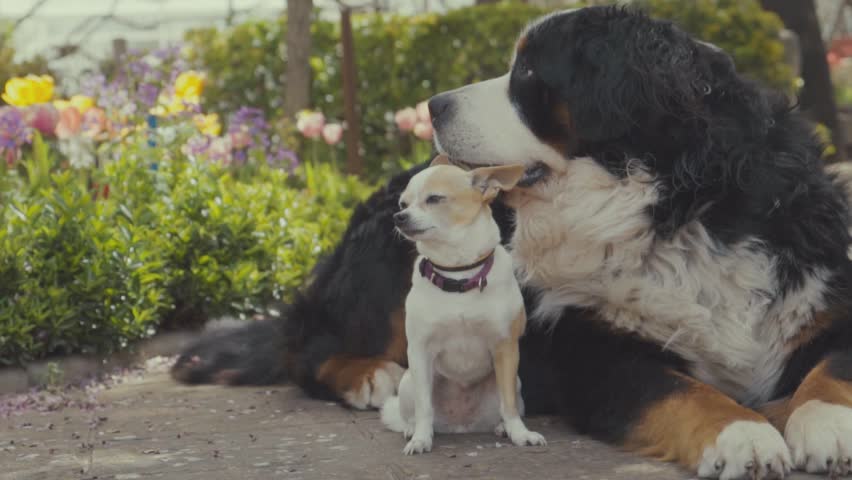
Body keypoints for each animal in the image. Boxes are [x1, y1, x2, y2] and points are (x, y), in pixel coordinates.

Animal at [382, 155, 544, 454]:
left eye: (434, 198)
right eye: (402, 204)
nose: (399, 217)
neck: (457, 275)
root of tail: (461, 426)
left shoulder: (506, 349)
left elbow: (509, 405)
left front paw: (520, 434)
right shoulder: (420, 351)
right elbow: (424, 407)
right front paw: (421, 439)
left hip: (515, 381)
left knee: (506, 405)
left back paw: (502, 428)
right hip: (408, 381)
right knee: (412, 412)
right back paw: (412, 429)